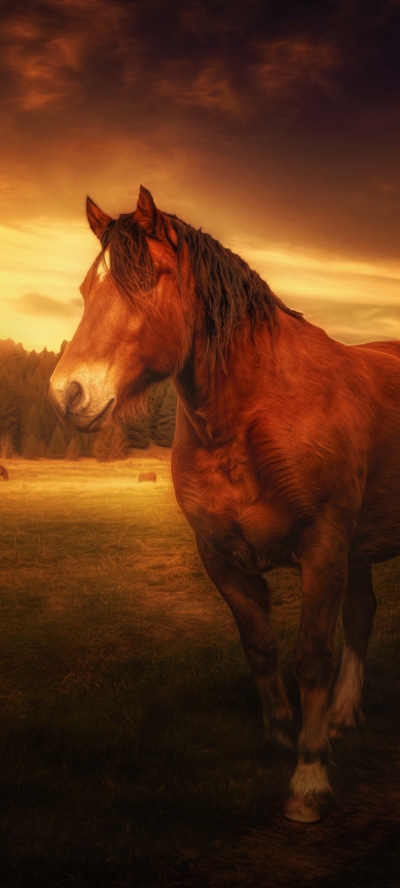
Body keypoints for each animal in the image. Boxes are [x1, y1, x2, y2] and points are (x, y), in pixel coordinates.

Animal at [49, 186, 400, 823]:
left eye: (147, 282)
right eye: (87, 289)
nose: (68, 394)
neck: (254, 414)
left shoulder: (323, 547)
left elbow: (312, 654)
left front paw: (309, 777)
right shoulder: (220, 553)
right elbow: (260, 647)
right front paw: (282, 739)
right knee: (362, 615)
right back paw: (344, 716)